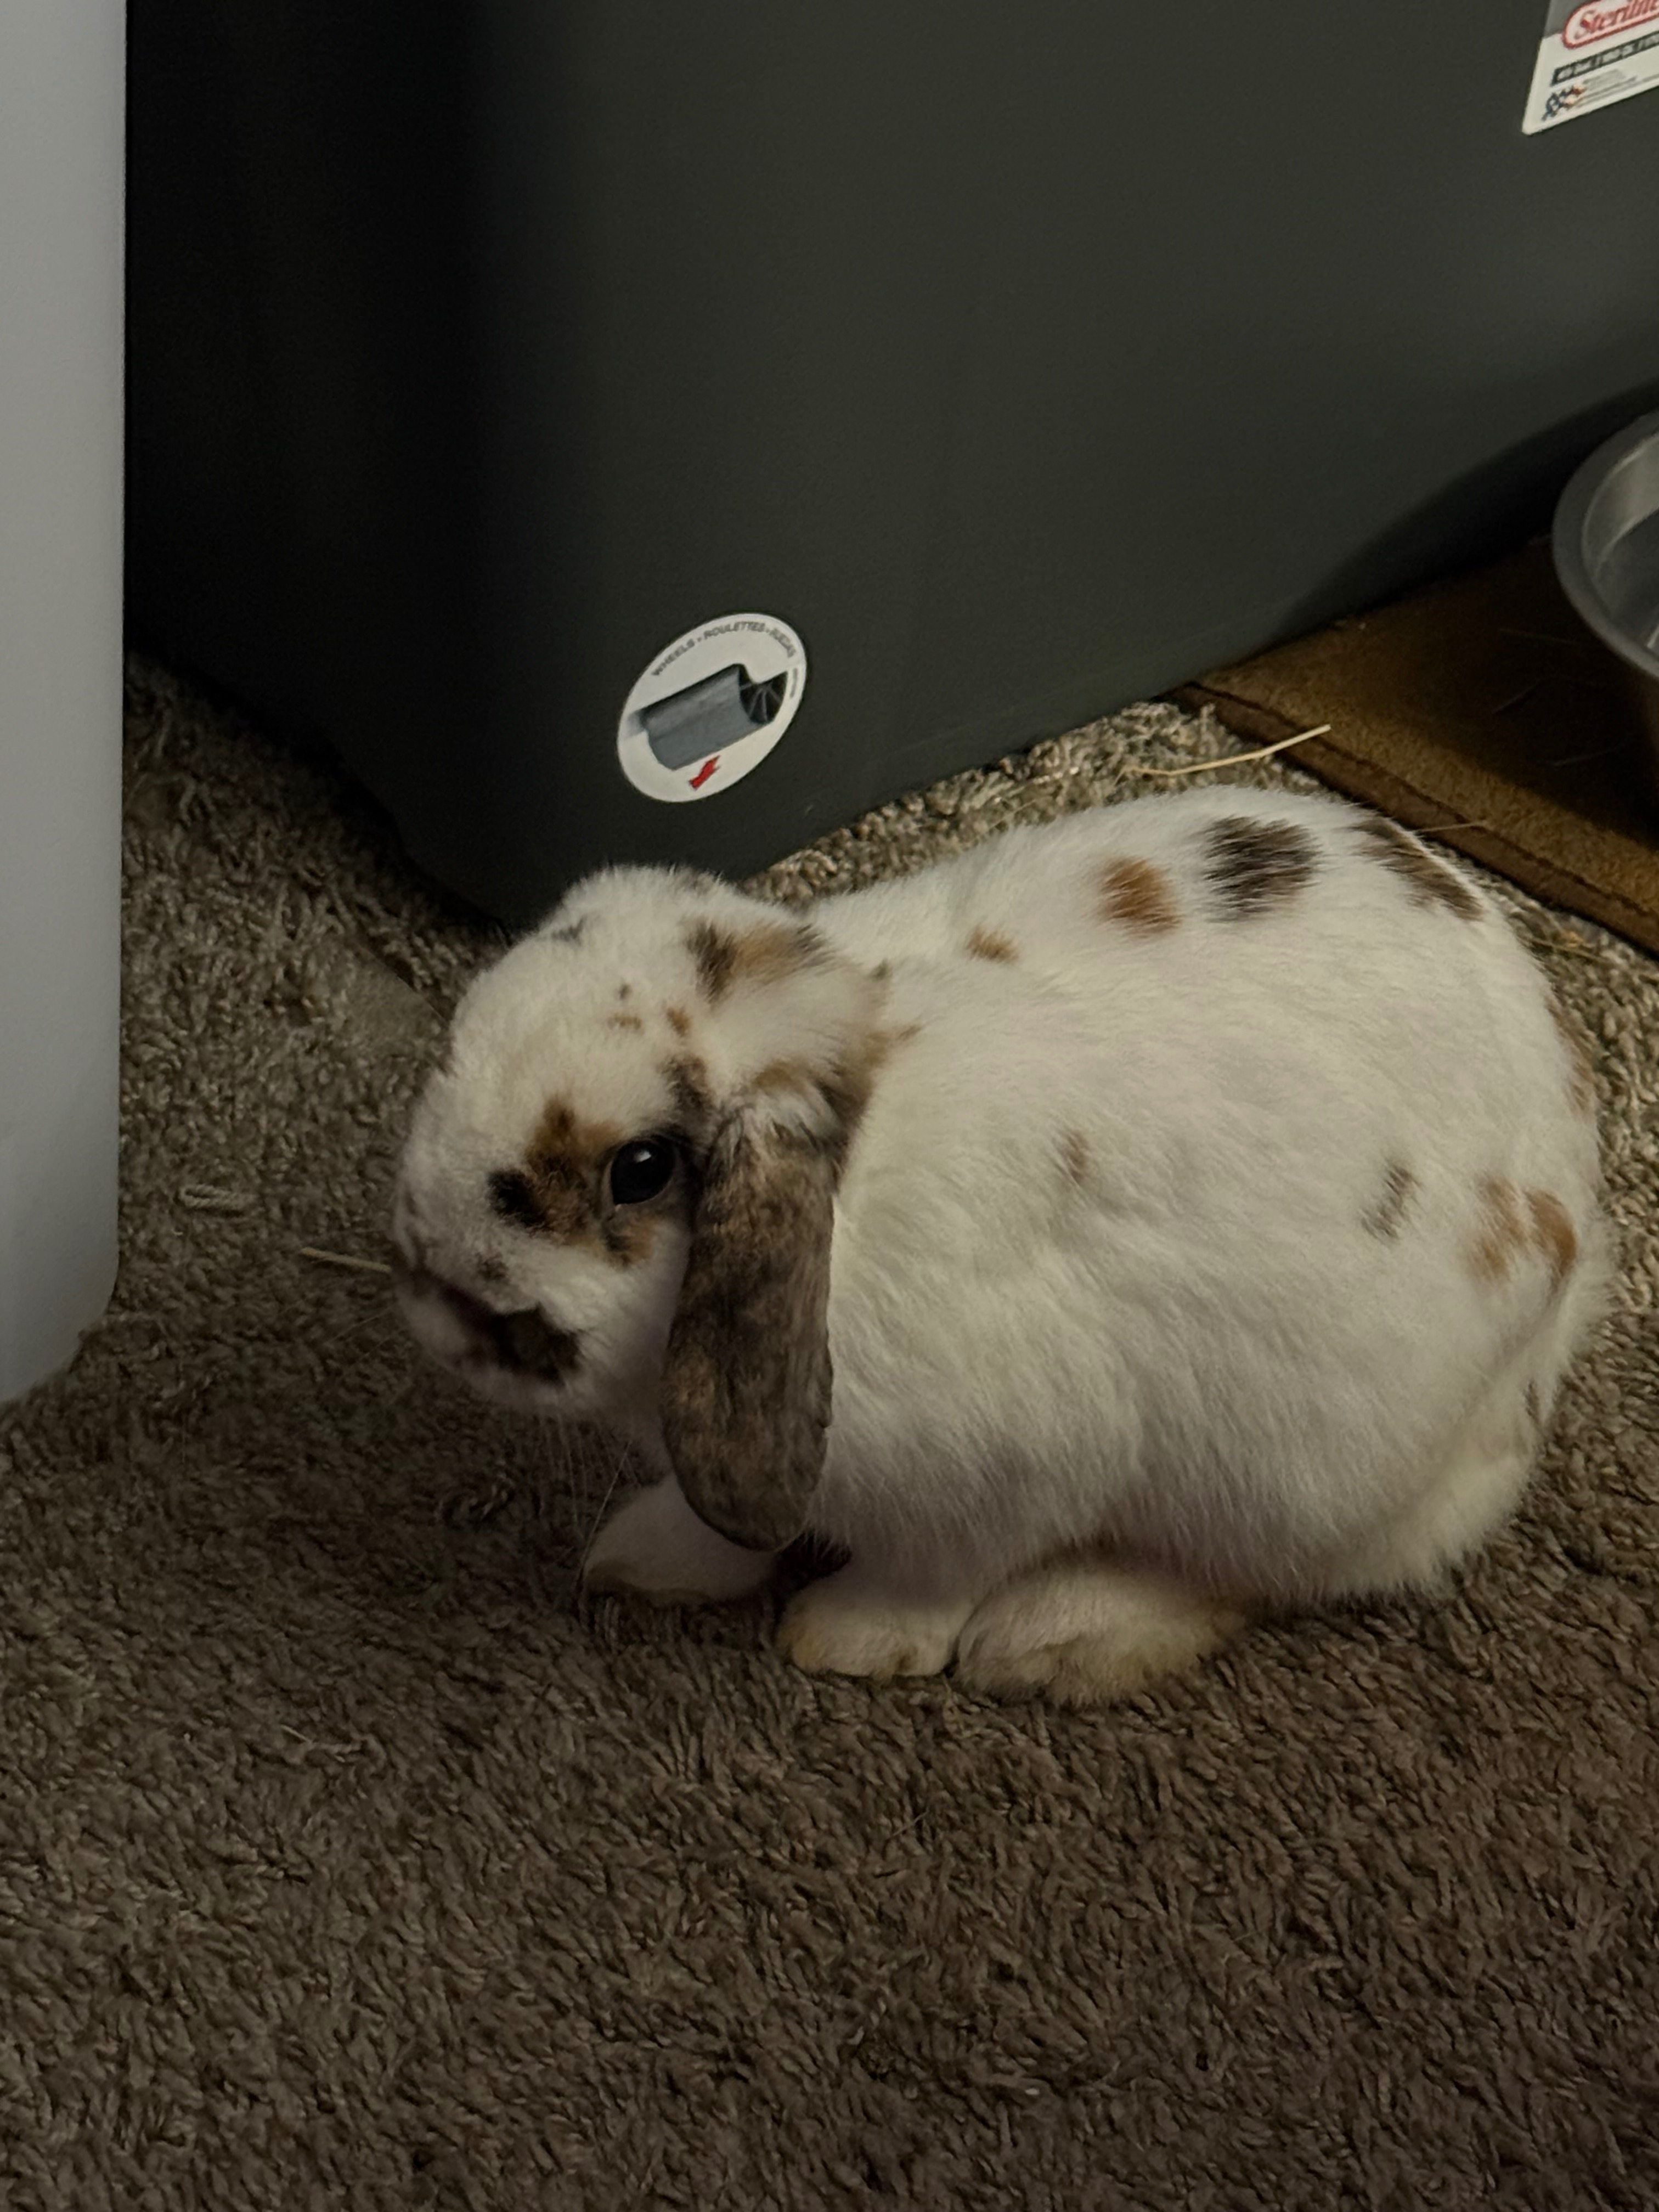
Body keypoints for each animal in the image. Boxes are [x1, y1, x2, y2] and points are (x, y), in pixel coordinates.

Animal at [392, 783, 1606, 1705]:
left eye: (639, 1168)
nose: (437, 1302)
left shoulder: (1002, 1481)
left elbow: (926, 1580)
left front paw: (843, 1641)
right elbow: (725, 1530)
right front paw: (637, 1561)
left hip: (1309, 1472)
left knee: (1259, 1575)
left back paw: (1052, 1641)